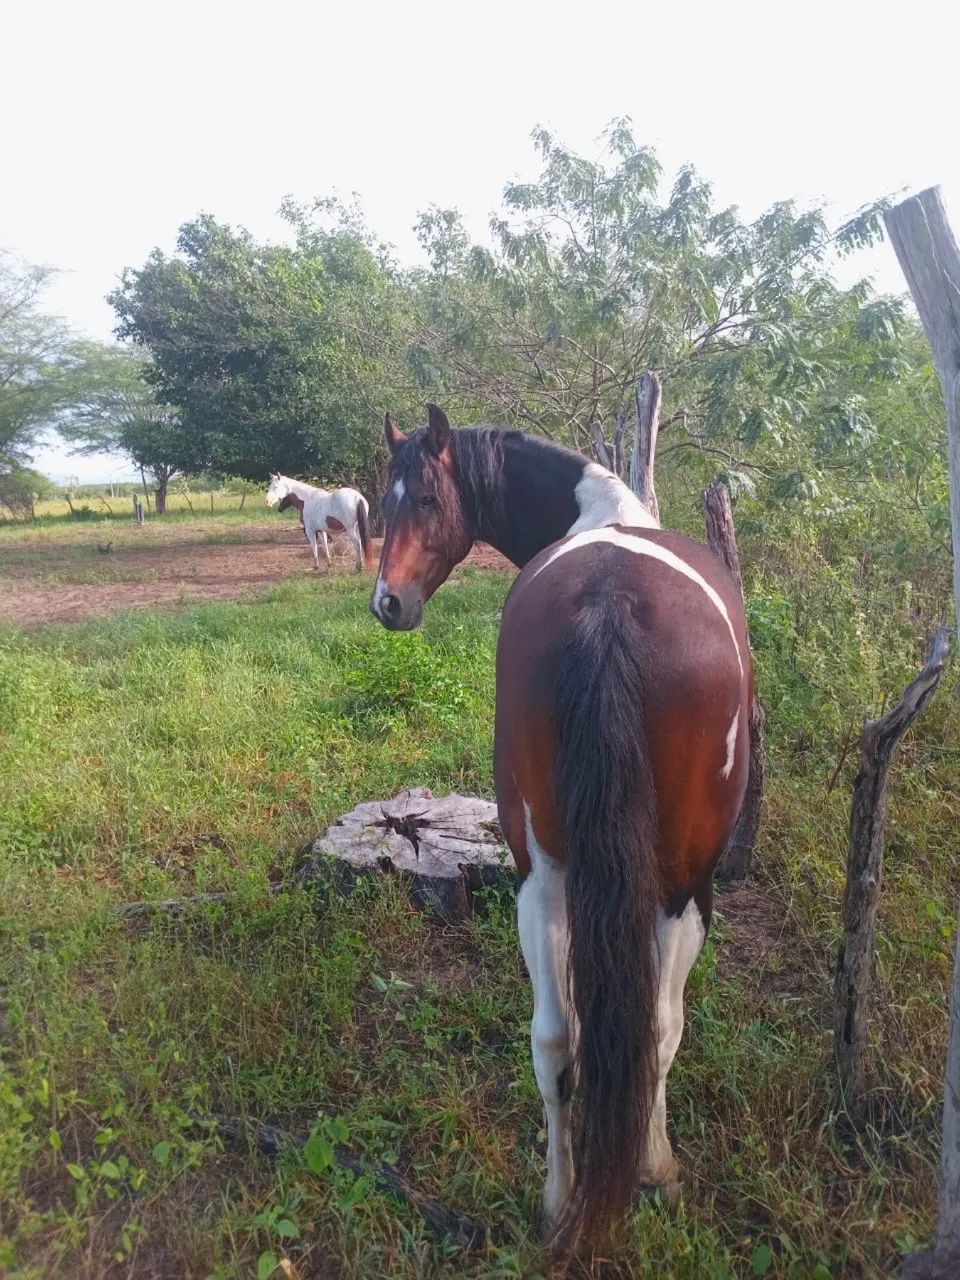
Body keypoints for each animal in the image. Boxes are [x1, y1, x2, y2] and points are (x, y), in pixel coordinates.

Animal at [369, 404, 752, 1252]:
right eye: (384, 502)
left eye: (426, 502)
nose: (387, 604)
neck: (600, 512)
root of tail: (609, 602)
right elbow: (664, 1028)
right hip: (677, 885)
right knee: (654, 1029)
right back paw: (650, 1170)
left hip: (541, 880)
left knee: (553, 1040)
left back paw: (557, 1199)